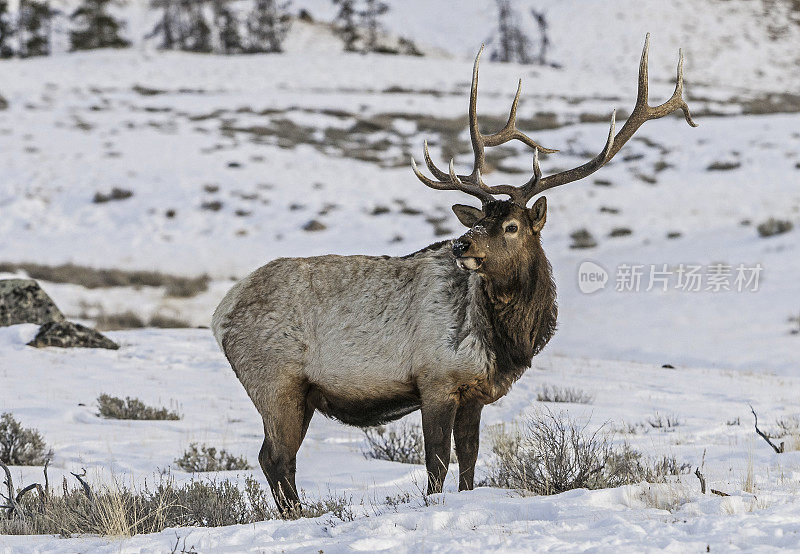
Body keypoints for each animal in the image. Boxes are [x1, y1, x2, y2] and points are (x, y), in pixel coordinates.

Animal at [212, 34, 692, 512]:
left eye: (511, 225)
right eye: (479, 220)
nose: (463, 244)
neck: (506, 340)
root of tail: (221, 314)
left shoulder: (475, 393)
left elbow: (470, 460)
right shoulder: (436, 380)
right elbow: (437, 462)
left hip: (298, 394)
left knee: (275, 458)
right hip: (277, 383)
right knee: (276, 457)